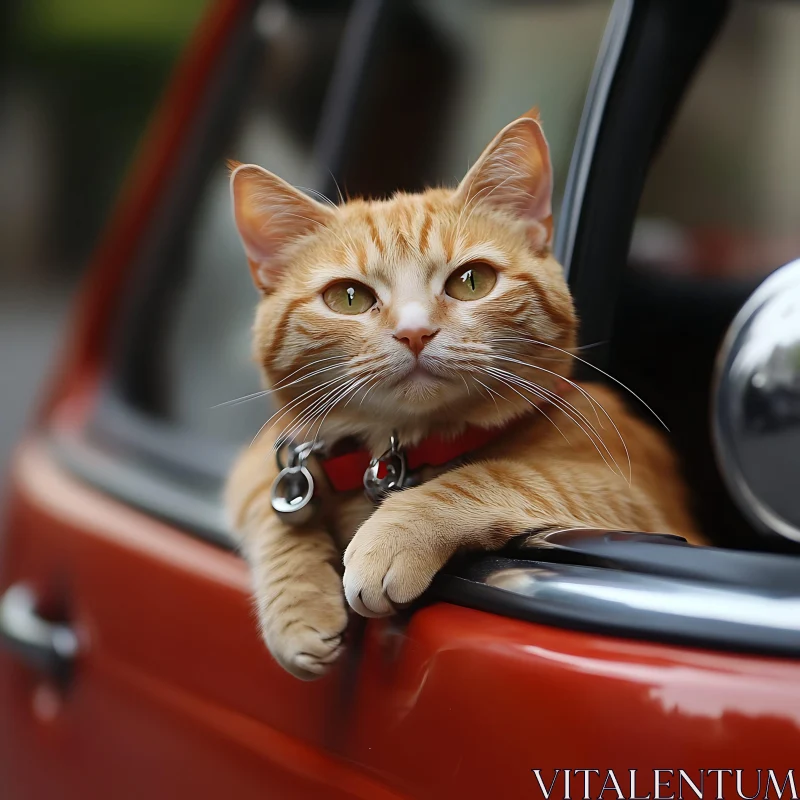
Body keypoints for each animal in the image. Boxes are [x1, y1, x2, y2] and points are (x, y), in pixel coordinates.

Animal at [225, 109, 700, 680]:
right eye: (349, 297)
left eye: (472, 282)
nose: (414, 332)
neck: (399, 456)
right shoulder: (263, 460)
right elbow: (267, 505)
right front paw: (297, 604)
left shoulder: (635, 500)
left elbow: (494, 476)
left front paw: (389, 537)